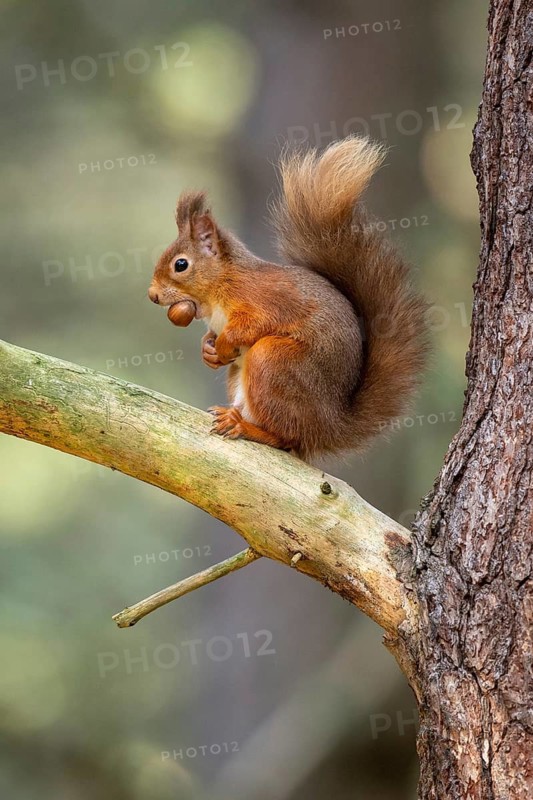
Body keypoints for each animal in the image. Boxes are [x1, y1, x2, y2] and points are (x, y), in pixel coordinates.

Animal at [148, 136, 428, 460]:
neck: (220, 289)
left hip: (274, 360)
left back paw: (243, 426)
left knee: (286, 438)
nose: (152, 295)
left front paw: (224, 343)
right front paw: (209, 350)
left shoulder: (265, 301)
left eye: (181, 264)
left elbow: (251, 326)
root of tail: (328, 426)